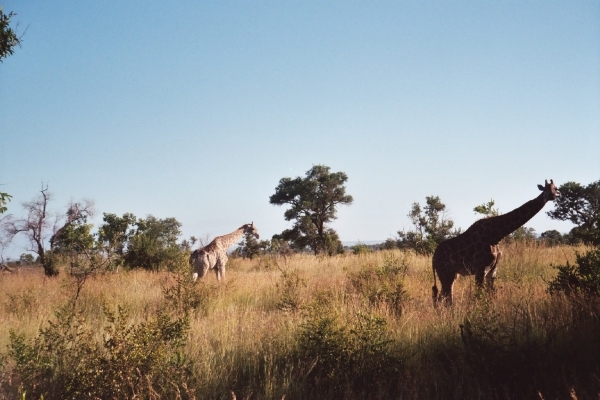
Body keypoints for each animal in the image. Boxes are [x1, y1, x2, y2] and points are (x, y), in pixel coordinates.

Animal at [432, 180, 556, 308]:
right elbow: (479, 295)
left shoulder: (492, 270)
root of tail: (433, 258)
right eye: (545, 189)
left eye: (555, 188)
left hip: (451, 274)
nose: (552, 196)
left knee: (443, 297)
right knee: (445, 298)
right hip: (446, 272)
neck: (496, 236)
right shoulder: (481, 269)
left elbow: (490, 294)